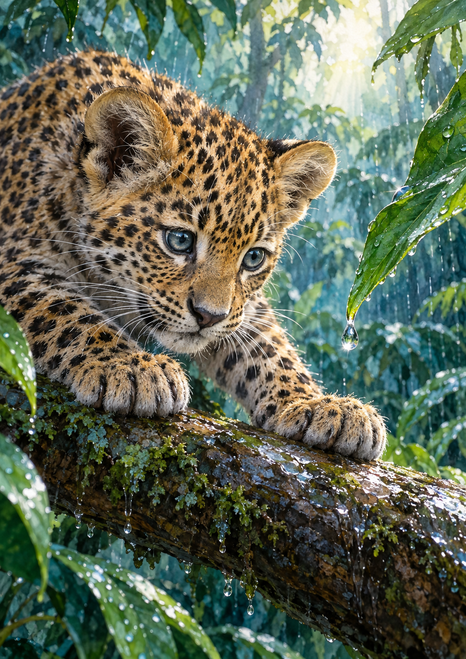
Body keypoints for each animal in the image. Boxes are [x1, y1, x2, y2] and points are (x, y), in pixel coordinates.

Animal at [0, 49, 386, 461]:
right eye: (180, 240)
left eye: (253, 258)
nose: (208, 316)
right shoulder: (13, 261)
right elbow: (68, 313)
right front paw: (131, 367)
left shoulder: (243, 308)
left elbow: (269, 348)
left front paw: (319, 405)